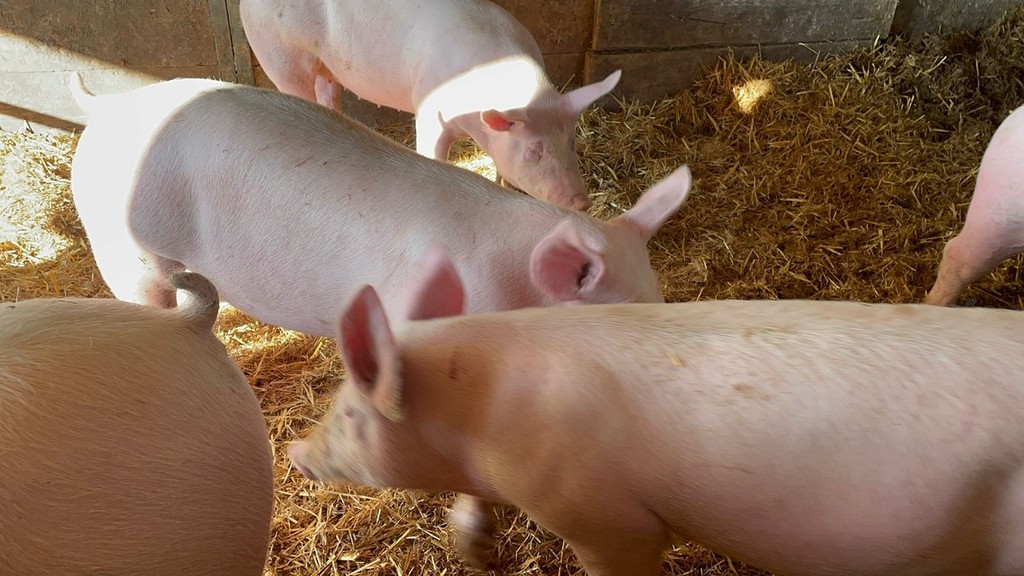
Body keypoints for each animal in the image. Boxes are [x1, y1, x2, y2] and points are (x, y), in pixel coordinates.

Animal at [239, 0, 622, 210]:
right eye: (534, 151)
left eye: (571, 142)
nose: (580, 202)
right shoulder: (428, 107)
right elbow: (432, 151)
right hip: (278, 54)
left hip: (326, 67)